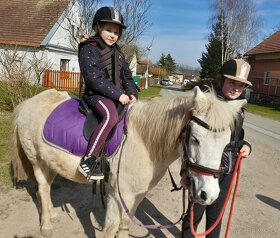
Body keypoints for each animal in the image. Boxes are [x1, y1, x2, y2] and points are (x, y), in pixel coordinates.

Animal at [12, 86, 246, 237]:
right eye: (195, 139)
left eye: (227, 143)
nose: (209, 195)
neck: (143, 141)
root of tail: (28, 102)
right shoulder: (117, 196)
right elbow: (110, 229)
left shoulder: (136, 197)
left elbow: (124, 227)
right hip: (37, 160)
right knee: (42, 188)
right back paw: (46, 226)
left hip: (49, 162)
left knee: (46, 188)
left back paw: (51, 213)